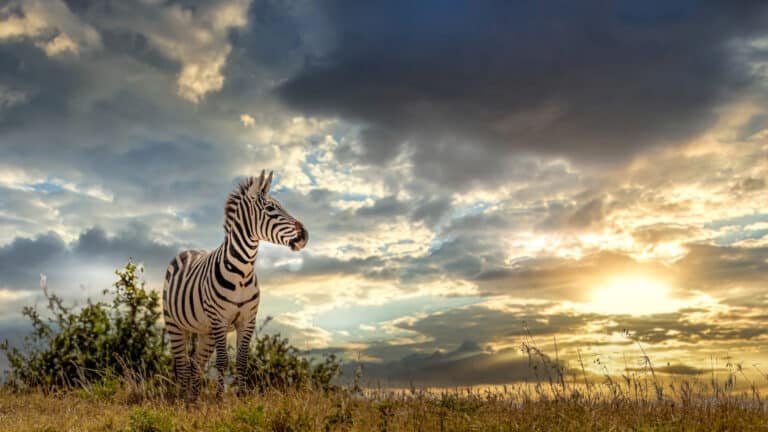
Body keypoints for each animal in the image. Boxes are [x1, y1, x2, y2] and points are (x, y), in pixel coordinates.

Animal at [162, 170, 308, 400]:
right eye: (270, 209)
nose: (304, 236)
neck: (242, 272)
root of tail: (189, 251)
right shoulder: (219, 320)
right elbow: (223, 361)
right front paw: (220, 398)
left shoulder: (247, 320)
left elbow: (242, 361)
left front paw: (243, 396)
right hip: (175, 324)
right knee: (183, 364)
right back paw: (182, 398)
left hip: (205, 331)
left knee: (196, 364)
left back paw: (194, 400)